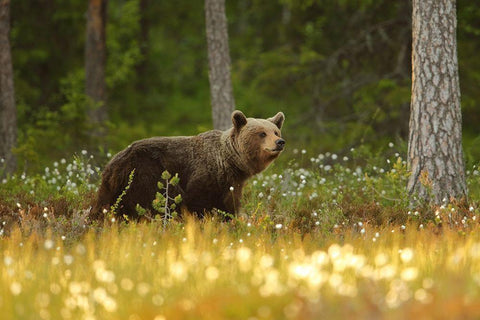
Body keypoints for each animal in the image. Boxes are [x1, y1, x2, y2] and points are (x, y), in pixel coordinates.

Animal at [92, 110, 284, 220]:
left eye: (275, 131)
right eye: (262, 133)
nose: (280, 142)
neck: (230, 162)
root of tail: (113, 163)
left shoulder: (231, 183)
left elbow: (229, 204)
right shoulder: (205, 175)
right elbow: (197, 202)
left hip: (114, 187)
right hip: (146, 174)